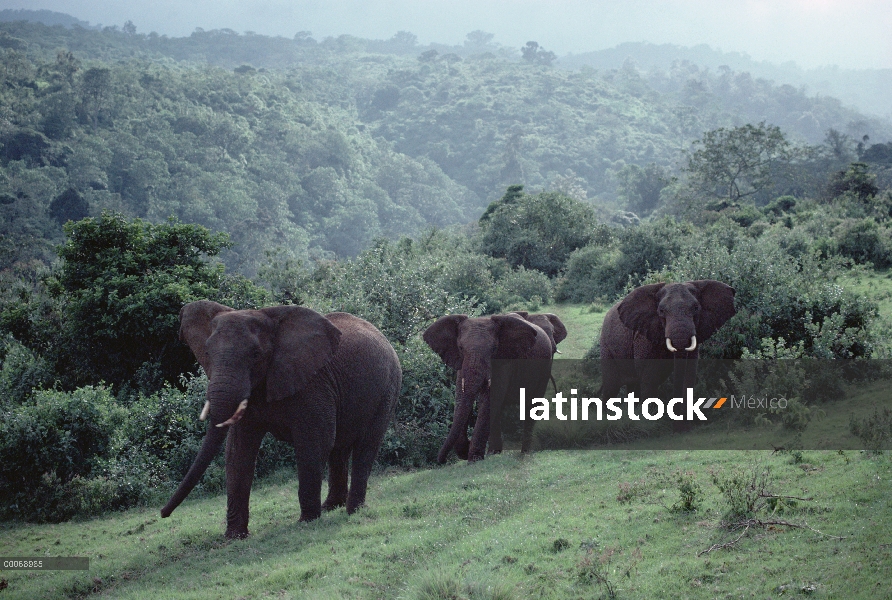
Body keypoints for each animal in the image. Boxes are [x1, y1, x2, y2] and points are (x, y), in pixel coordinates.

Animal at [160, 300, 400, 540]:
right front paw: (234, 537)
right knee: (339, 449)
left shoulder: (312, 384)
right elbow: (238, 451)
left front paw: (307, 522)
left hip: (387, 390)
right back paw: (331, 507)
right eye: (207, 352)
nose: (163, 513)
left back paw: (353, 511)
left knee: (366, 446)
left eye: (256, 354)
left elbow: (314, 442)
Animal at [422, 314, 556, 464]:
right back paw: (493, 452)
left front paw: (473, 460)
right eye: (461, 348)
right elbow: (462, 398)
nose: (442, 460)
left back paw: (524, 453)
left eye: (494, 349)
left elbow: (488, 401)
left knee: (531, 405)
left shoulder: (504, 362)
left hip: (545, 367)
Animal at [600, 282, 740, 408]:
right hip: (606, 346)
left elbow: (689, 374)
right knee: (611, 387)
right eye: (661, 311)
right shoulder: (643, 337)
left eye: (696, 308)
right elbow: (648, 378)